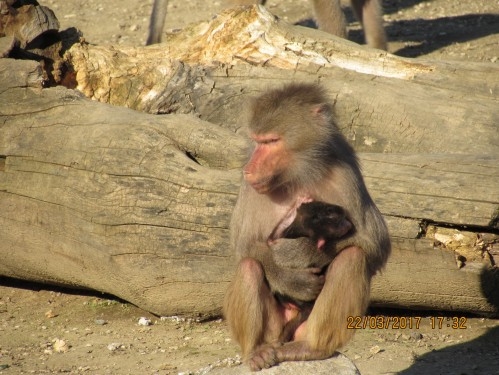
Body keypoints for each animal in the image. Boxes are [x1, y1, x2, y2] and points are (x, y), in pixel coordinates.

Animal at [223, 83, 390, 374]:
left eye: (271, 142)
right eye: (258, 141)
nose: (249, 169)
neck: (298, 172)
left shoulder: (345, 171)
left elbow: (374, 241)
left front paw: (301, 252)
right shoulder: (253, 190)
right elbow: (245, 245)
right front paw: (295, 280)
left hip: (306, 326)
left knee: (352, 257)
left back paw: (311, 348)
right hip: (274, 328)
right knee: (249, 266)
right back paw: (256, 353)